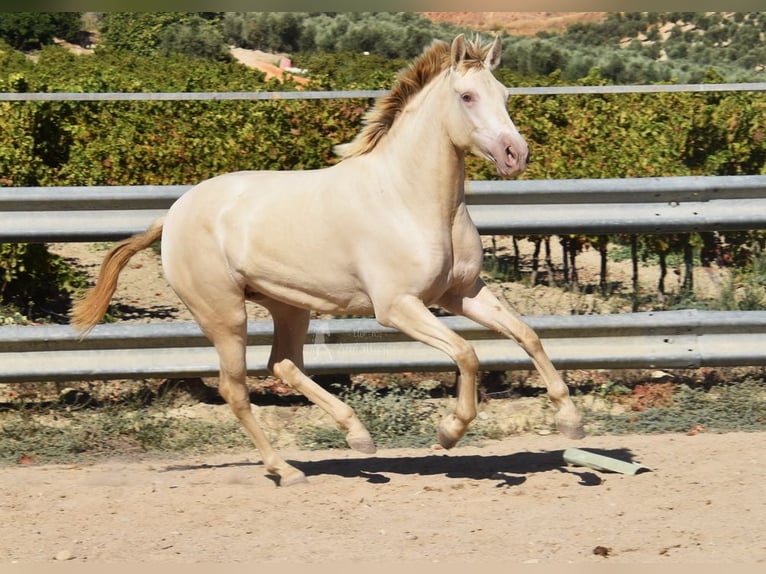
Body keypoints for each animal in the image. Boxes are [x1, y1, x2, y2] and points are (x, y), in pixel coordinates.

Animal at [73, 35, 588, 486]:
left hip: (289, 306)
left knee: (282, 365)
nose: (515, 154)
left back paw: (358, 436)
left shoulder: (461, 293)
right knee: (235, 389)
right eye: (466, 96)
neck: (409, 198)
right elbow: (466, 353)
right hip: (224, 315)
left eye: (504, 95)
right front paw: (449, 431)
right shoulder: (397, 307)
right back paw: (287, 470)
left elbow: (527, 335)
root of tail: (173, 215)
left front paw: (571, 421)